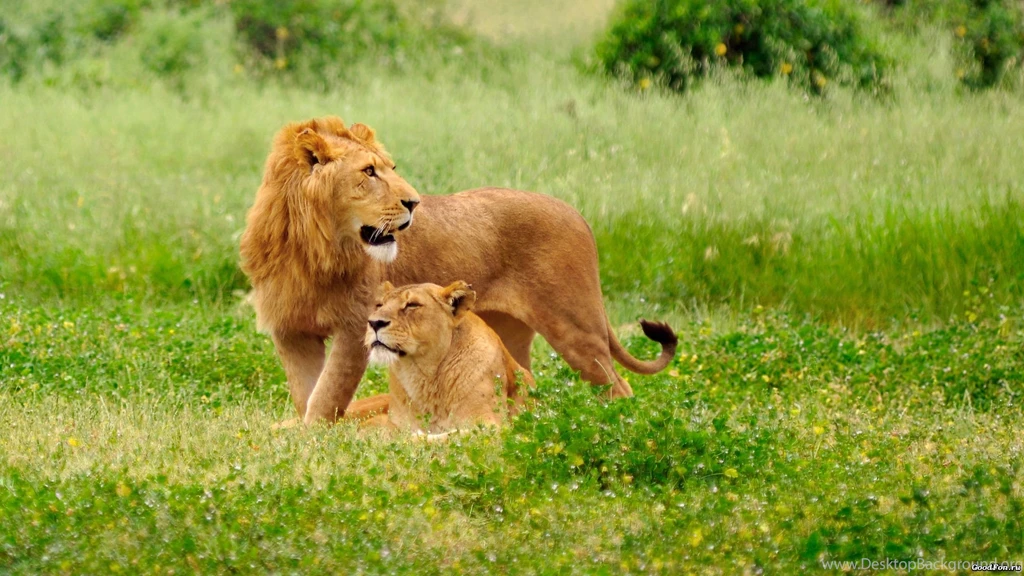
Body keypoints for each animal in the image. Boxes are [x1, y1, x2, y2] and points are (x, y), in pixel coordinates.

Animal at [239, 116, 678, 425]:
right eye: (368, 172)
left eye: (390, 167)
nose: (414, 202)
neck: (309, 247)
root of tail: (577, 214)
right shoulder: (291, 331)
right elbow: (306, 395)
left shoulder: (354, 327)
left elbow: (327, 396)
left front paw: (315, 441)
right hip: (510, 332)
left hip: (575, 326)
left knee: (619, 386)